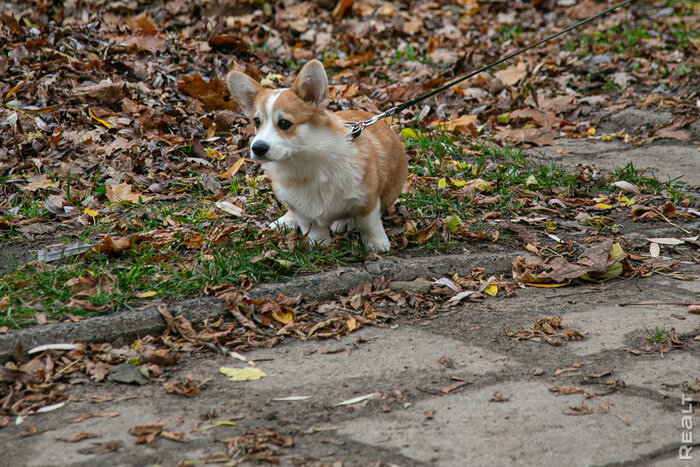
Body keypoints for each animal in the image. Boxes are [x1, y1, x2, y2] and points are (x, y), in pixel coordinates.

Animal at [227, 62, 408, 254]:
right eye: (257, 122)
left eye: (284, 123)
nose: (257, 148)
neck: (306, 161)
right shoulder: (300, 208)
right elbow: (311, 226)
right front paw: (319, 245)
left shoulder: (368, 198)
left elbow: (369, 223)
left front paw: (376, 243)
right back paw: (285, 221)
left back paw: (343, 222)